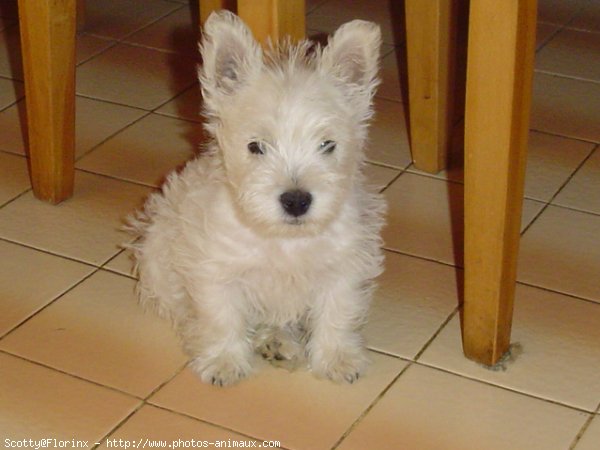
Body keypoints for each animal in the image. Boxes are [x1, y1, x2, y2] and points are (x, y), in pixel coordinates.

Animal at [129, 10, 386, 384]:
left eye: (327, 144)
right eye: (255, 146)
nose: (296, 201)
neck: (283, 240)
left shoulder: (343, 266)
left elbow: (338, 312)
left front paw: (337, 360)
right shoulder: (216, 269)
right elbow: (222, 316)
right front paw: (224, 362)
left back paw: (279, 344)